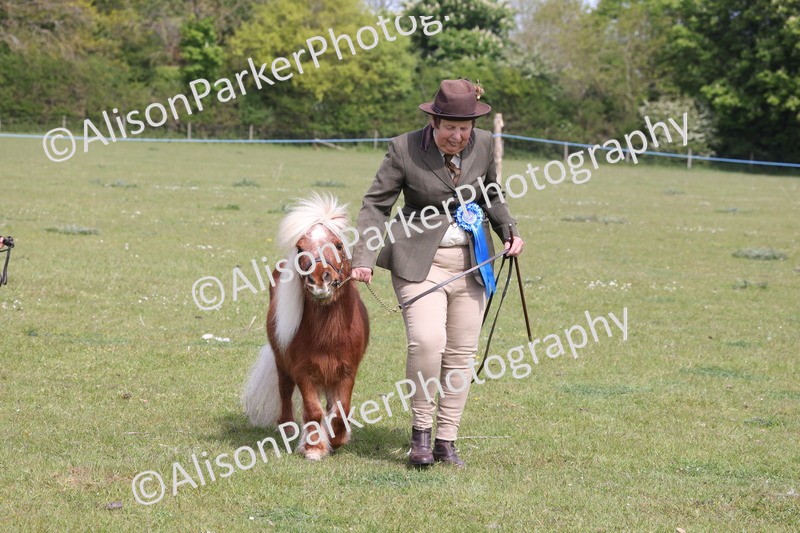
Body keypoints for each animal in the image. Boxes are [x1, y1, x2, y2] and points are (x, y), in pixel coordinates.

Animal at [242, 193, 370, 460]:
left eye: (338, 245)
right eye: (300, 249)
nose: (320, 279)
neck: (329, 332)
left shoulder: (347, 371)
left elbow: (341, 411)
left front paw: (337, 439)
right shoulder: (303, 371)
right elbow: (313, 410)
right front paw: (313, 447)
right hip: (281, 362)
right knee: (285, 390)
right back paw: (288, 428)